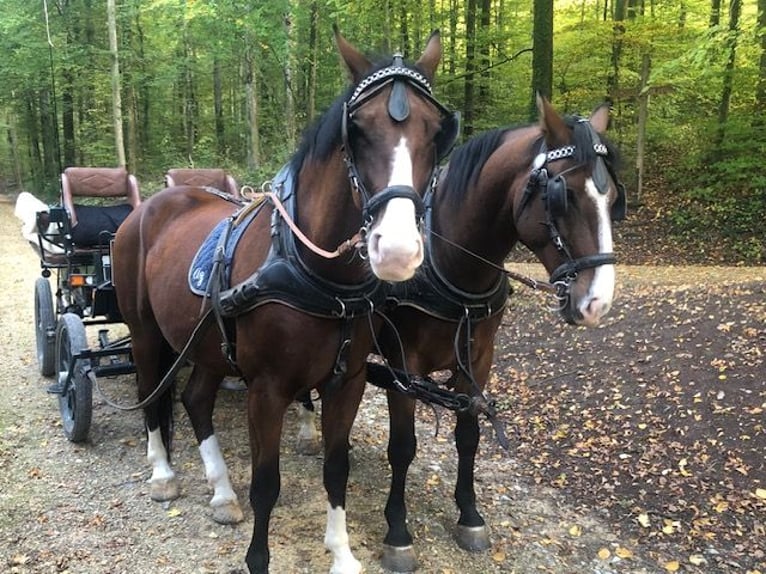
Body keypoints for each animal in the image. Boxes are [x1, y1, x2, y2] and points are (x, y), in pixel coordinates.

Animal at [112, 28, 460, 574]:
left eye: (436, 132)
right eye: (357, 130)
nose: (398, 251)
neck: (319, 276)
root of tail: (147, 206)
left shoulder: (347, 382)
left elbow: (336, 468)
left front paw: (342, 553)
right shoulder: (268, 388)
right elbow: (267, 483)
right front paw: (259, 558)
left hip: (207, 342)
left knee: (195, 400)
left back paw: (221, 493)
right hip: (146, 333)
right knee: (152, 392)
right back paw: (164, 474)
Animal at [296, 95, 628, 572]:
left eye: (614, 199)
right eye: (561, 196)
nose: (596, 303)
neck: (453, 264)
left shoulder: (479, 360)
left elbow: (468, 437)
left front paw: (470, 515)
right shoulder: (405, 366)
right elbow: (403, 446)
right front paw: (398, 533)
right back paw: (307, 431)